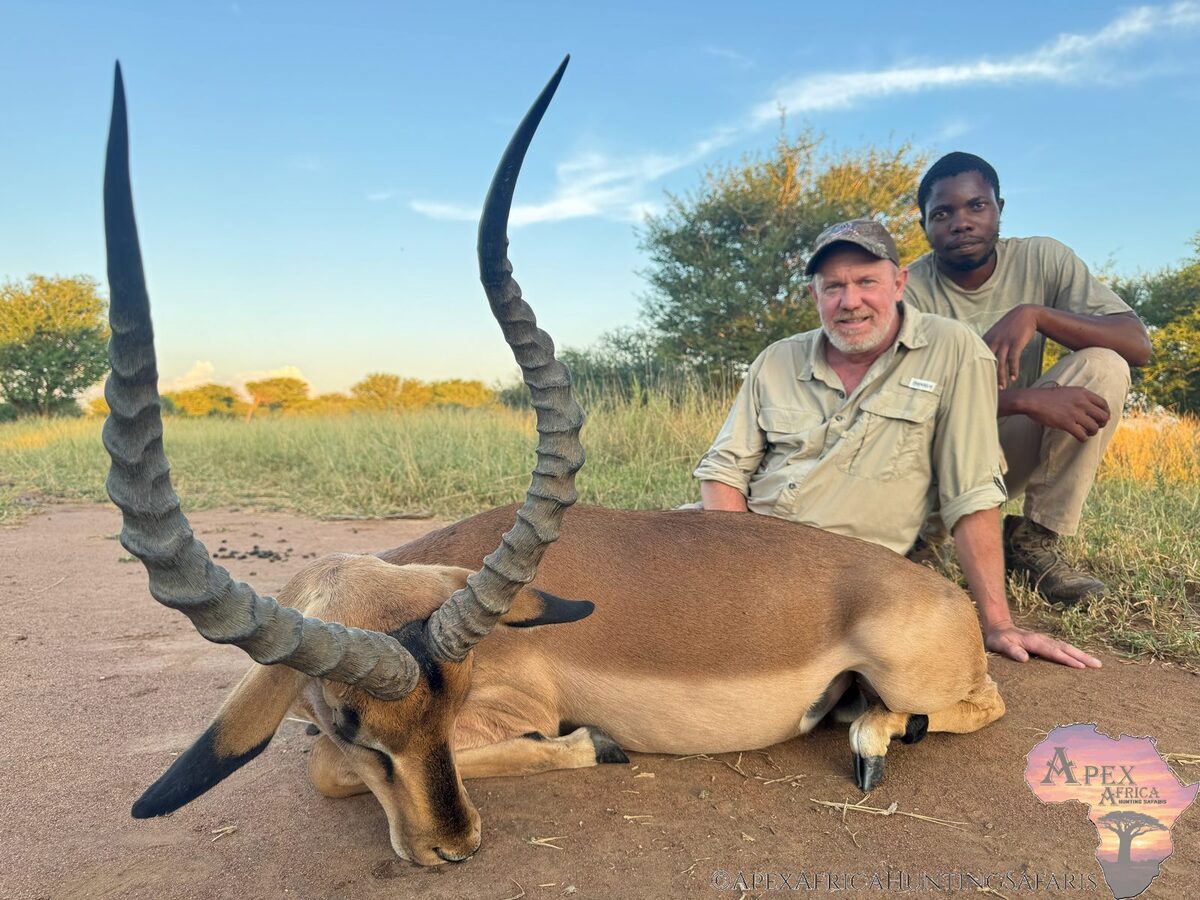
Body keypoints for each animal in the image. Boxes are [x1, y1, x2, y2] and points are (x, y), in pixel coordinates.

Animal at [104, 58, 1005, 867]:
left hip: (916, 678)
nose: (453, 847)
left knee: (975, 702)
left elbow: (325, 771)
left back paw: (871, 741)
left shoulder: (510, 708)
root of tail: (941, 594)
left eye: (453, 700)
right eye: (351, 717)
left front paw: (596, 745)